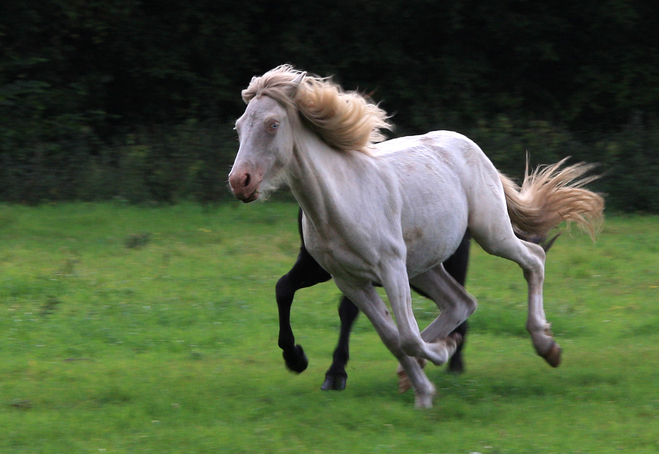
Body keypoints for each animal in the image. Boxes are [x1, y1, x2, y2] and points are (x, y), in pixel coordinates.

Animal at [229, 65, 604, 410]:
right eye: (239, 126)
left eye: (272, 124)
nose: (239, 182)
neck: (340, 200)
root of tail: (468, 144)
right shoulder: (348, 279)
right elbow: (392, 337)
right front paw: (424, 391)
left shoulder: (390, 268)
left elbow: (406, 336)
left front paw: (435, 361)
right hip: (425, 266)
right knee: (460, 303)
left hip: (490, 233)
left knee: (533, 260)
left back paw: (546, 346)